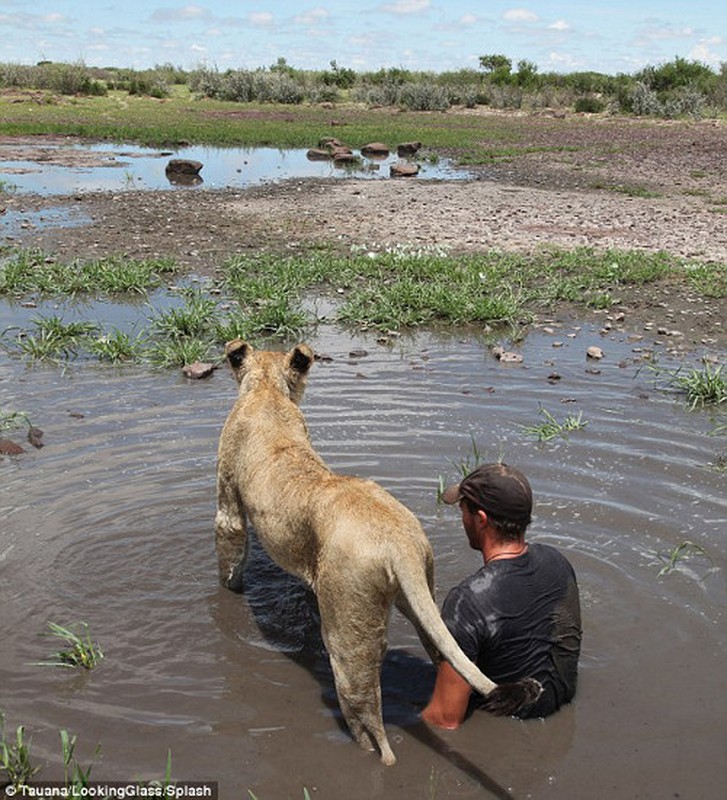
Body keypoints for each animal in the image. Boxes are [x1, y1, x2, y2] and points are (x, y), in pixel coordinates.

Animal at [216, 340, 540, 764]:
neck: (269, 393)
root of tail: (398, 543)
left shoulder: (228, 497)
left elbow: (230, 544)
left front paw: (229, 591)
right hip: (417, 593)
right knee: (448, 658)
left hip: (348, 627)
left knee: (366, 710)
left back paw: (374, 753)